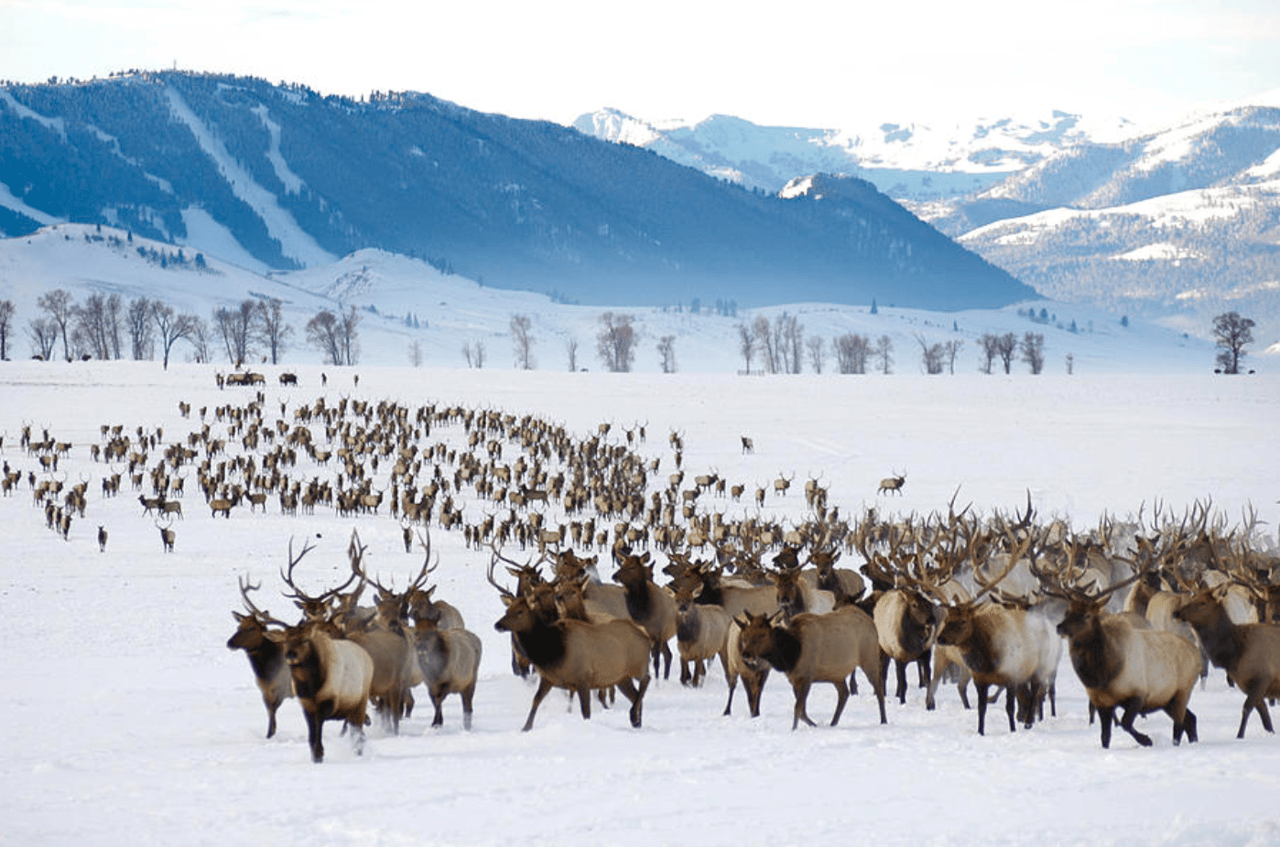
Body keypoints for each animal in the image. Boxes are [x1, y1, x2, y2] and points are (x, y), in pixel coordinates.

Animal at [732, 606, 890, 731]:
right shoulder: (794, 679)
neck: (790, 655)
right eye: (745, 635)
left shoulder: (806, 677)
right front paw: (814, 725)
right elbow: (802, 711)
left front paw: (794, 729)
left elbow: (798, 709)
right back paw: (833, 723)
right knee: (844, 693)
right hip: (837, 674)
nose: (746, 654)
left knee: (878, 686)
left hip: (869, 658)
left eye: (762, 634)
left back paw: (883, 720)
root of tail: (871, 621)